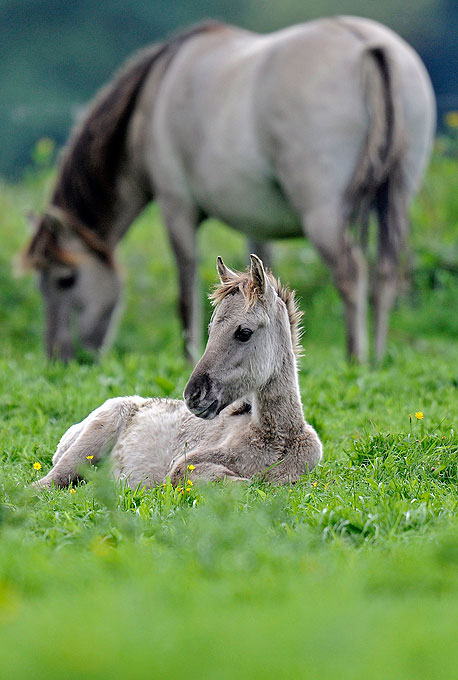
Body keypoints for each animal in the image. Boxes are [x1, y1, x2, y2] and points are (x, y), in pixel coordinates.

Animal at [24, 17, 436, 362]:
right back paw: (377, 359)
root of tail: (367, 43)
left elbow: (186, 291)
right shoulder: (258, 224)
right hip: (396, 201)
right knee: (385, 274)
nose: (58, 357)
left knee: (351, 273)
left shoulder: (176, 207)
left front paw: (190, 355)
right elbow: (261, 282)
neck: (154, 96)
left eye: (65, 280)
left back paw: (356, 359)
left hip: (323, 215)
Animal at [34, 256, 324, 488]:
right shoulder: (185, 465)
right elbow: (241, 483)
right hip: (85, 447)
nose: (193, 395)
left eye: (244, 332)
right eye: (210, 330)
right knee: (45, 484)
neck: (277, 439)